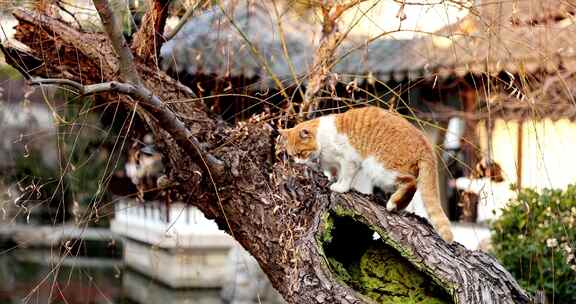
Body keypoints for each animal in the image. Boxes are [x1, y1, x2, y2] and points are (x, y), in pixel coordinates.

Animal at [280, 107, 454, 242]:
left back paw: (392, 204)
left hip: (380, 168)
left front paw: (340, 187)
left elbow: (346, 177)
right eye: (292, 155)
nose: (298, 162)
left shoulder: (349, 160)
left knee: (411, 182)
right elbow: (335, 173)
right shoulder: (334, 165)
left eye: (301, 153)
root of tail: (425, 143)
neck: (322, 140)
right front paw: (332, 179)